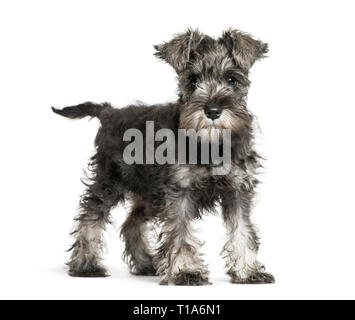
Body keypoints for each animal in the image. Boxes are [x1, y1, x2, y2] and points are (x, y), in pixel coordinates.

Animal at [52, 28, 276, 284]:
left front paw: (248, 271)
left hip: (149, 194)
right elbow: (180, 232)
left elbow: (243, 230)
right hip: (109, 182)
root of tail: (109, 112)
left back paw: (146, 263)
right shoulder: (179, 192)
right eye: (193, 80)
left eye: (231, 79)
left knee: (131, 223)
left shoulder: (237, 190)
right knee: (90, 217)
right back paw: (86, 266)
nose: (212, 111)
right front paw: (186, 271)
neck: (210, 144)